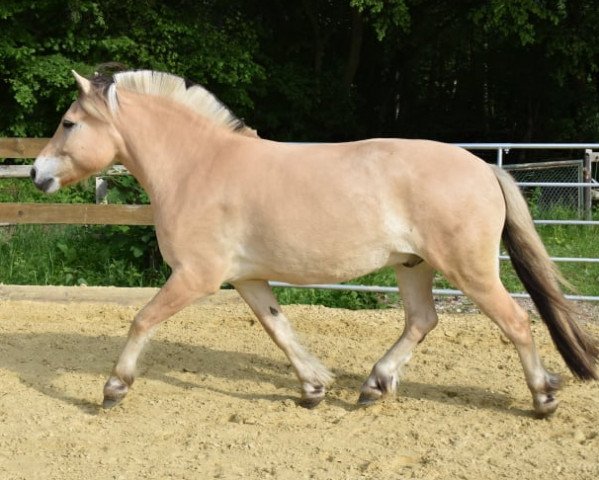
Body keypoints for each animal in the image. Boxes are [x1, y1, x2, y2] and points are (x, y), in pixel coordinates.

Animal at [29, 67, 599, 416]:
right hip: (413, 265)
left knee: (516, 321)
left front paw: (114, 388)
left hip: (470, 270)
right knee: (422, 320)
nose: (35, 173)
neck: (199, 168)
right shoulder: (247, 279)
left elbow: (142, 320)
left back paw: (543, 397)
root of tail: (485, 167)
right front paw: (313, 388)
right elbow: (279, 329)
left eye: (68, 122)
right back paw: (373, 386)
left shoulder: (196, 277)